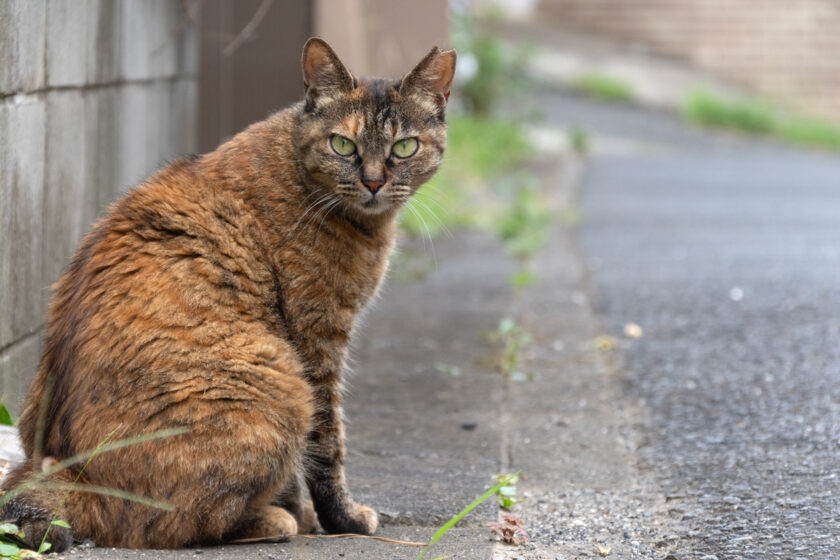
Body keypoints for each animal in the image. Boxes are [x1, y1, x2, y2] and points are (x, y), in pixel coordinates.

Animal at [0, 38, 456, 552]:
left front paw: (304, 511)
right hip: (281, 384)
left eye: (404, 146)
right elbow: (326, 446)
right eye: (343, 144)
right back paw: (271, 521)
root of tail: (75, 475)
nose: (374, 181)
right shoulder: (317, 340)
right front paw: (338, 517)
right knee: (172, 522)